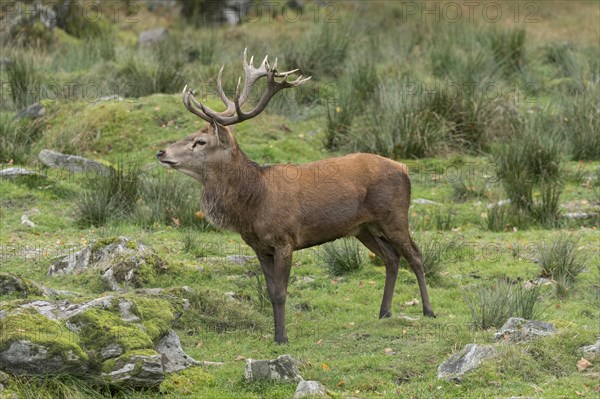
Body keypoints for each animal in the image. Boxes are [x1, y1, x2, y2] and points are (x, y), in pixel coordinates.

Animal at [156, 49, 436, 344]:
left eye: (200, 142)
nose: (162, 152)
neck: (253, 205)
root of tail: (404, 169)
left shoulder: (285, 239)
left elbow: (280, 292)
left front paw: (282, 338)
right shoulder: (258, 247)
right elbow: (269, 292)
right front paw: (275, 334)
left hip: (394, 216)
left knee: (415, 255)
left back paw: (428, 310)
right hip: (364, 227)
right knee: (391, 258)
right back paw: (384, 312)